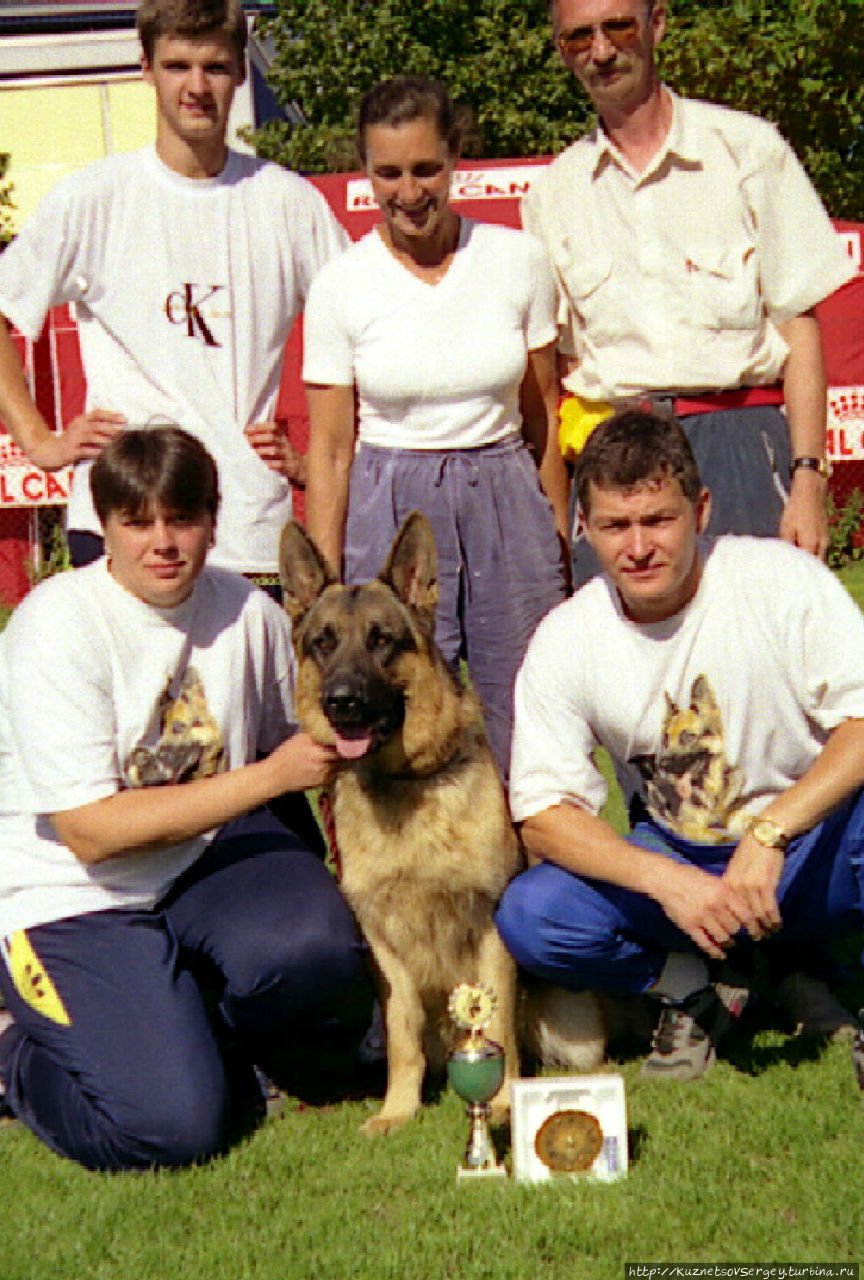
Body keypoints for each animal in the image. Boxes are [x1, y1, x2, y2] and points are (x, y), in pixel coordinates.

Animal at [280, 514, 604, 1136]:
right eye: (323, 643)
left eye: (381, 640)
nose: (341, 702)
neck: (408, 784)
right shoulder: (383, 945)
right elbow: (404, 1033)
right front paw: (397, 1109)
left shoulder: (487, 924)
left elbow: (495, 1026)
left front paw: (499, 1105)